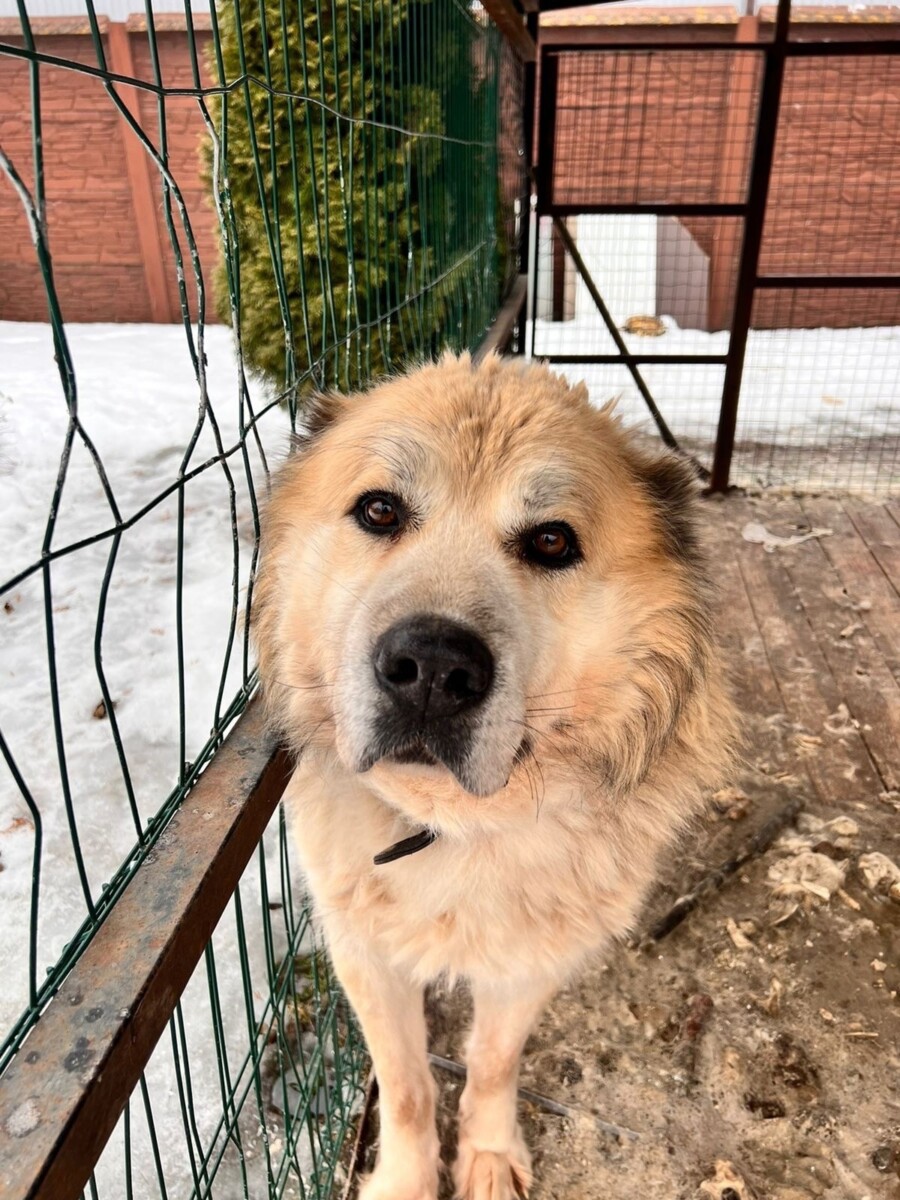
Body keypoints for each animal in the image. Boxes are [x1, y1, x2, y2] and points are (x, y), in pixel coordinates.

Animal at [255, 352, 739, 1200]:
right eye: (379, 510)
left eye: (550, 541)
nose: (430, 668)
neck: (451, 826)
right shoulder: (365, 954)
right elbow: (405, 1085)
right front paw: (406, 1179)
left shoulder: (529, 959)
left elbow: (490, 1059)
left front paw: (485, 1154)